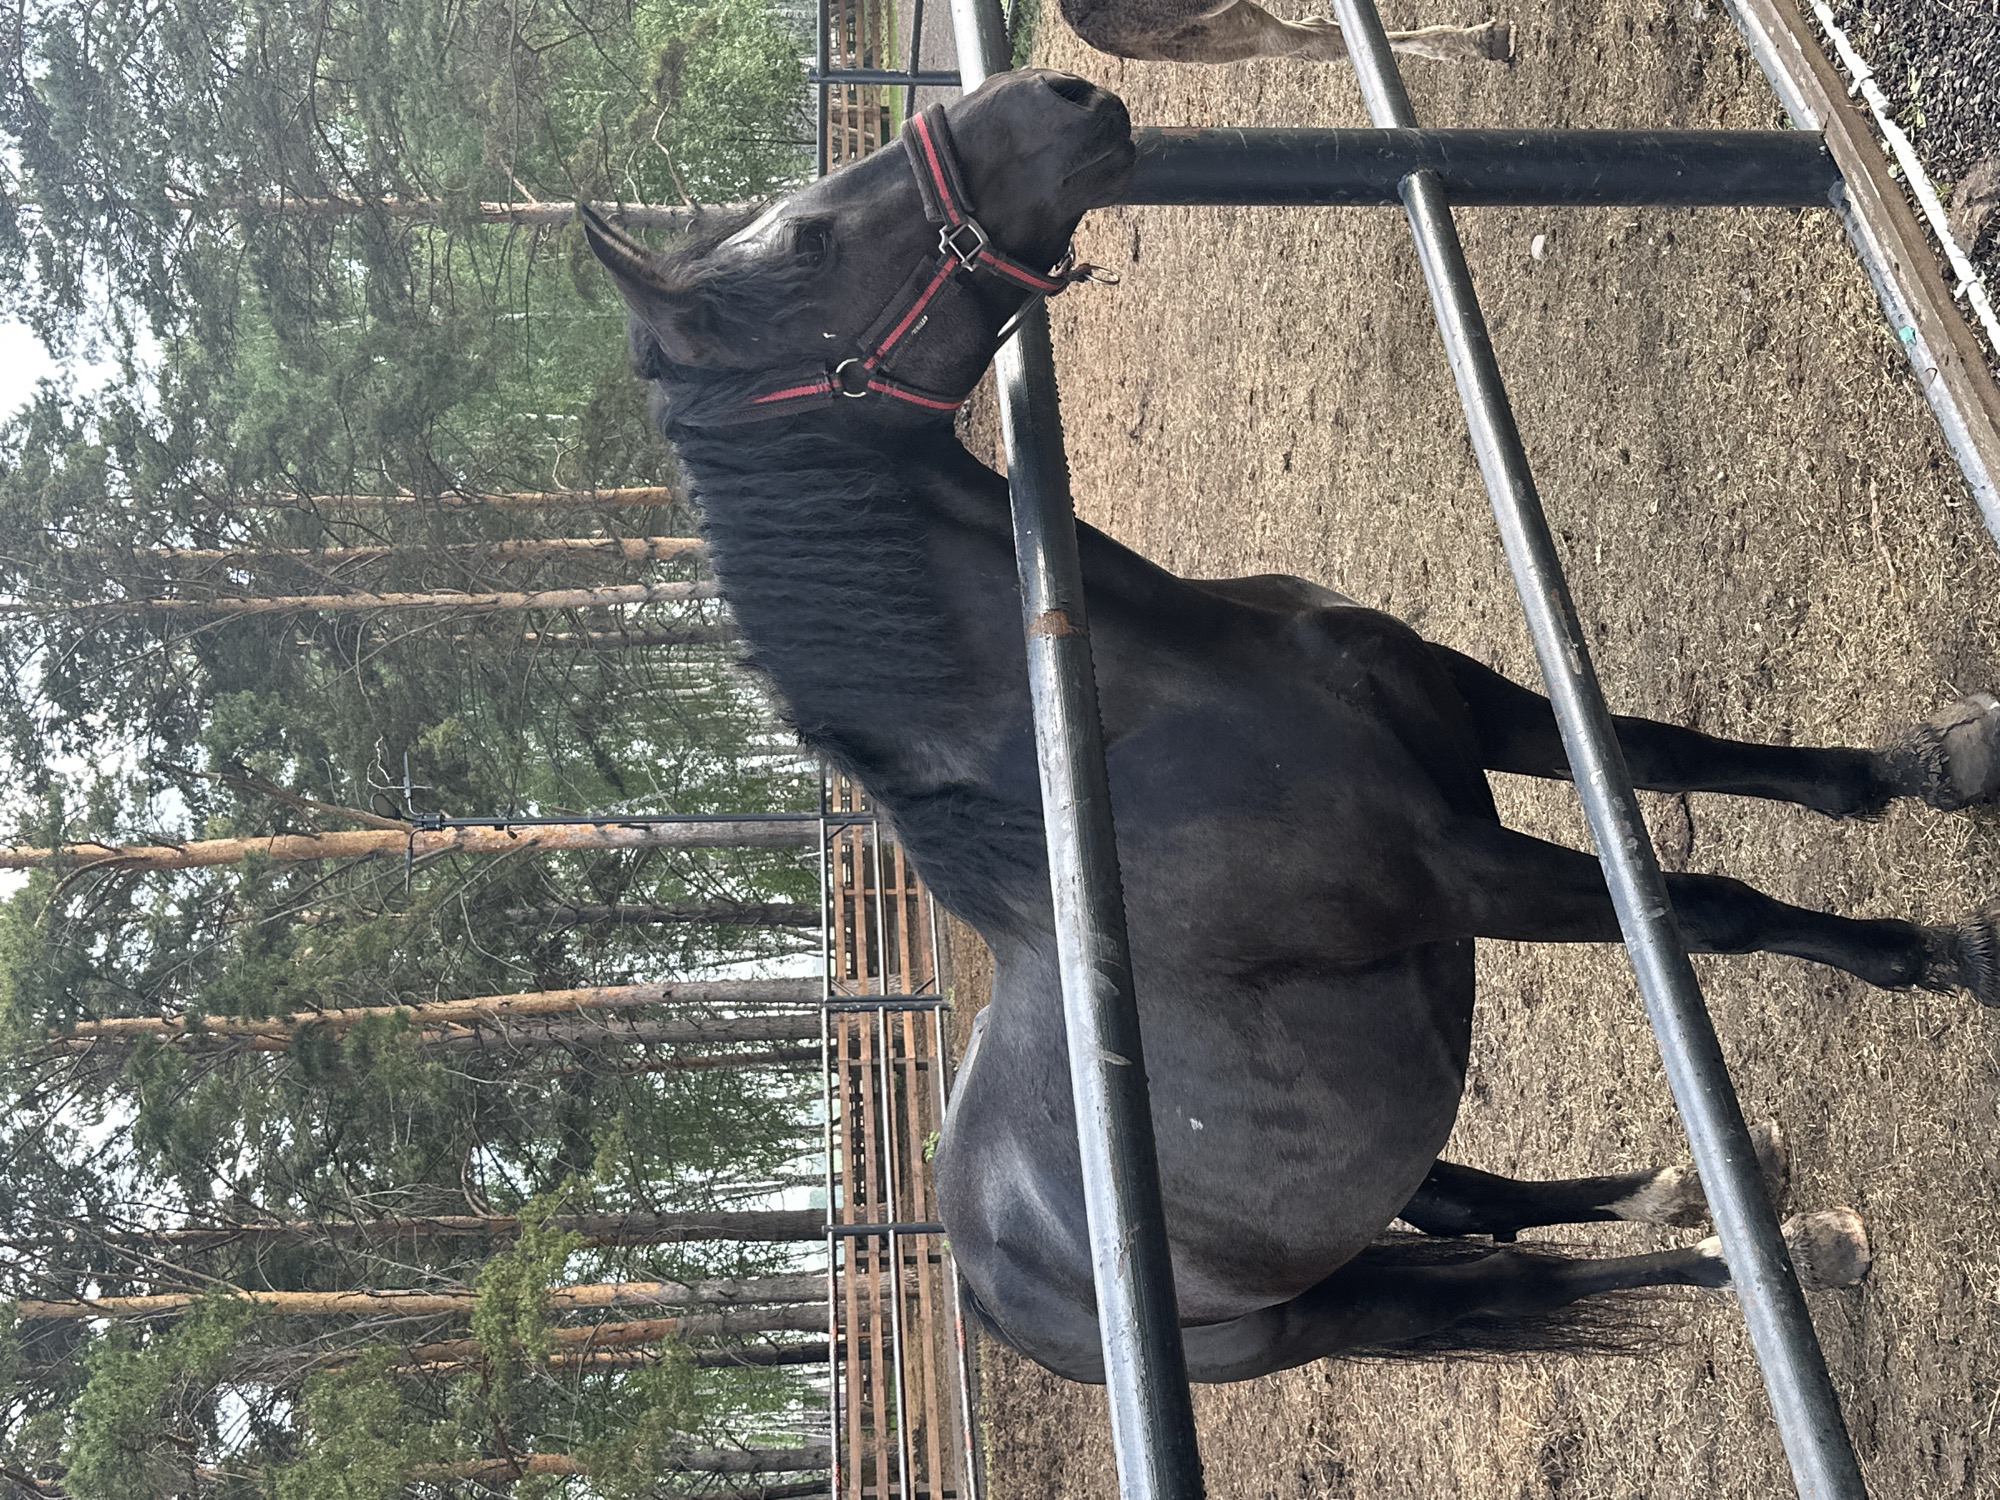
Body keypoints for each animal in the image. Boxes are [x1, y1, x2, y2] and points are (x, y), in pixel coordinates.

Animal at [582, 70, 2000, 1383]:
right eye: (810, 246)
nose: (1055, 94)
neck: (1154, 716)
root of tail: (986, 1285)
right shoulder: (1467, 875)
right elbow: (1708, 908)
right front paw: (1929, 952)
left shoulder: (1461, 707)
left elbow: (1654, 749)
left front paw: (1920, 769)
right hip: (1309, 1315)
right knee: (1509, 1272)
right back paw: (1780, 1244)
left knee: (1467, 1205)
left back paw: (1689, 1184)